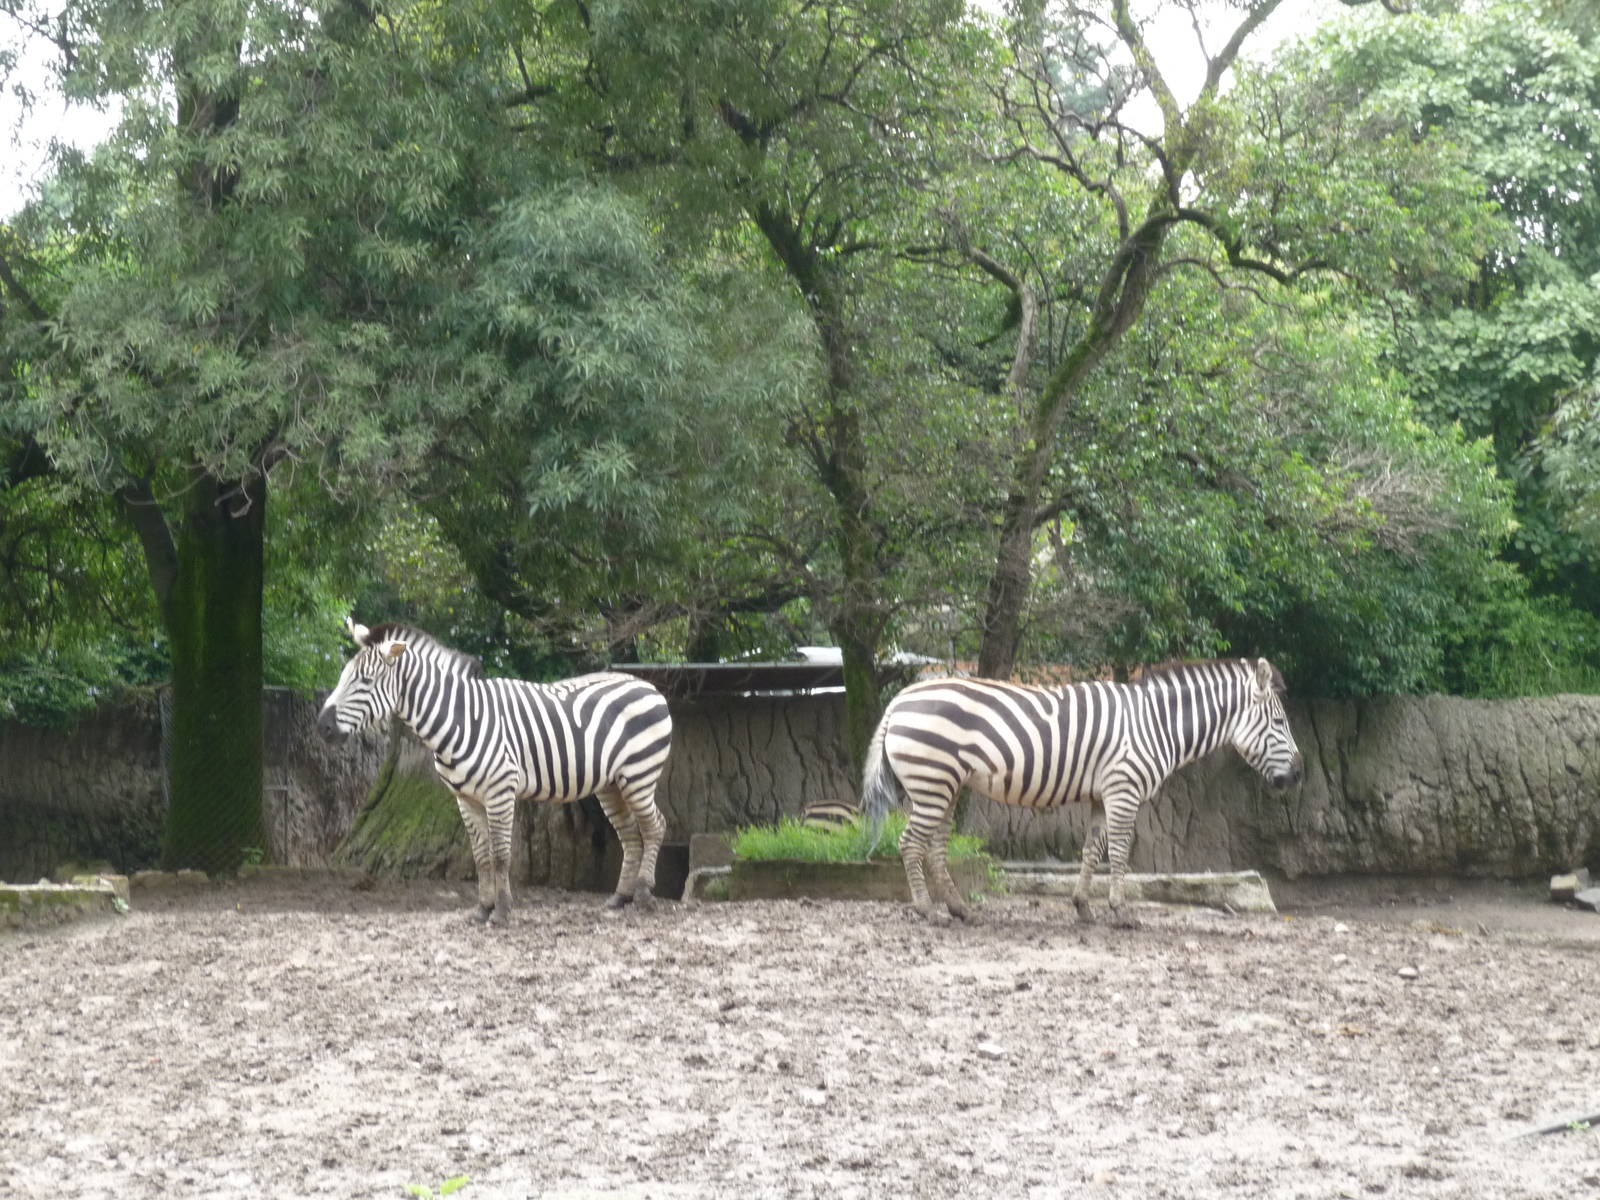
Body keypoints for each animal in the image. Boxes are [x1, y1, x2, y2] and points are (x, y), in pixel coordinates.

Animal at [317, 619, 674, 925]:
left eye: (364, 681)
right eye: (344, 675)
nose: (322, 727)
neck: (459, 719)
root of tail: (646, 684)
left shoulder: (500, 790)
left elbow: (501, 855)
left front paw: (501, 911)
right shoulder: (465, 798)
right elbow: (482, 857)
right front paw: (482, 909)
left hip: (640, 774)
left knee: (655, 826)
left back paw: (644, 895)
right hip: (611, 784)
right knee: (630, 833)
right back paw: (620, 898)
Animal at [862, 657, 1303, 922]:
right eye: (1280, 722)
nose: (1299, 775)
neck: (1156, 724)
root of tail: (900, 698)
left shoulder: (1100, 795)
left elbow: (1093, 849)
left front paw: (1083, 906)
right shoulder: (1124, 789)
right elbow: (1121, 850)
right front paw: (1121, 911)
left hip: (946, 784)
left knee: (934, 846)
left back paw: (958, 909)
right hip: (932, 780)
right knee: (910, 843)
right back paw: (926, 909)